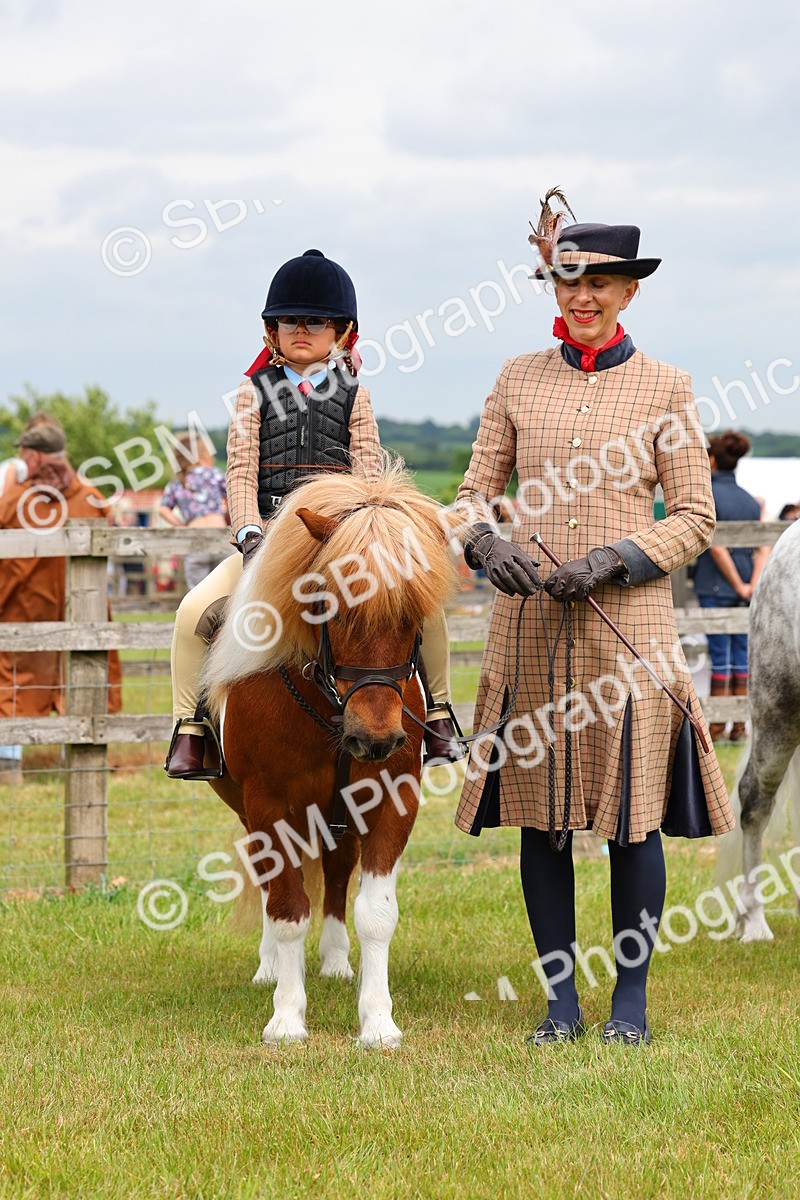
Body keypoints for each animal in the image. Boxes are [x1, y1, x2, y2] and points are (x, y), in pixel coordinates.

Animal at [202, 461, 458, 1046]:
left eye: (413, 617)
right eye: (332, 608)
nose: (375, 738)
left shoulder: (391, 798)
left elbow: (376, 912)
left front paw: (378, 1021)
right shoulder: (268, 804)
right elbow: (287, 907)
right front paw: (286, 1017)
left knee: (339, 871)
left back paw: (337, 961)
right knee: (275, 884)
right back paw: (271, 966)